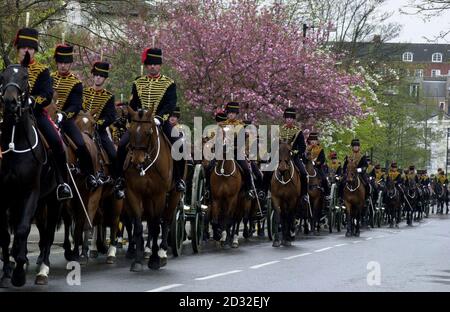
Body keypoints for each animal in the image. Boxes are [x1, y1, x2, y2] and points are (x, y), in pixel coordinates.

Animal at [0, 54, 61, 288]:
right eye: (3, 76)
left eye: (25, 77)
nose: (10, 102)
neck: (14, 141)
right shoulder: (5, 195)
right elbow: (5, 233)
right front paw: (9, 271)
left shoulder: (30, 192)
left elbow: (23, 229)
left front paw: (18, 273)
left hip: (52, 199)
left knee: (48, 232)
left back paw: (42, 269)